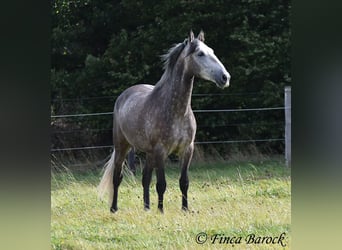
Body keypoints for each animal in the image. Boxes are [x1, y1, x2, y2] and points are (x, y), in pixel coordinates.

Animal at [97, 29, 231, 213]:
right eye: (200, 54)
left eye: (212, 51)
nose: (225, 77)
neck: (177, 112)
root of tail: (124, 95)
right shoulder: (161, 151)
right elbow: (161, 184)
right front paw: (161, 210)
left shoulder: (187, 150)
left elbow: (184, 182)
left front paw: (185, 209)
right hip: (122, 146)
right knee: (117, 177)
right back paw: (114, 208)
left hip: (148, 153)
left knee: (145, 178)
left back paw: (146, 208)